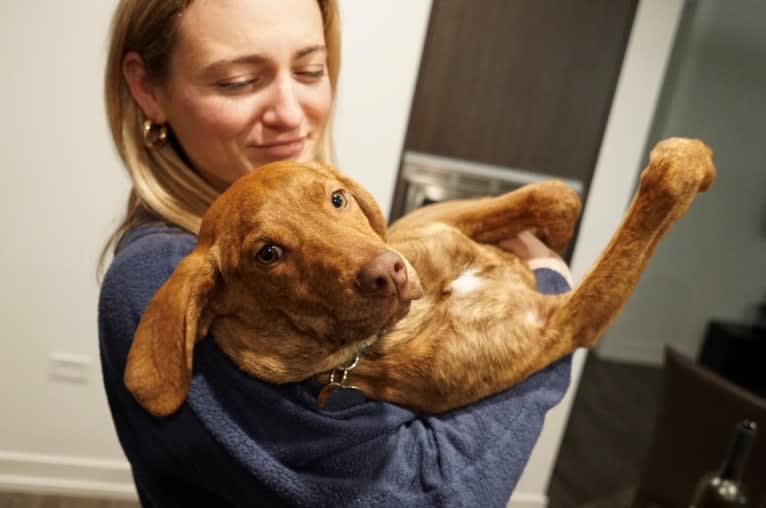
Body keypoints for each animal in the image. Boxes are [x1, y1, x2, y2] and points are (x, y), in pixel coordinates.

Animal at [123, 137, 716, 414]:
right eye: (268, 253)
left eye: (336, 199)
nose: (387, 273)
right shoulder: (564, 323)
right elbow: (645, 216)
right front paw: (685, 162)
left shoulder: (424, 227)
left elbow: (552, 196)